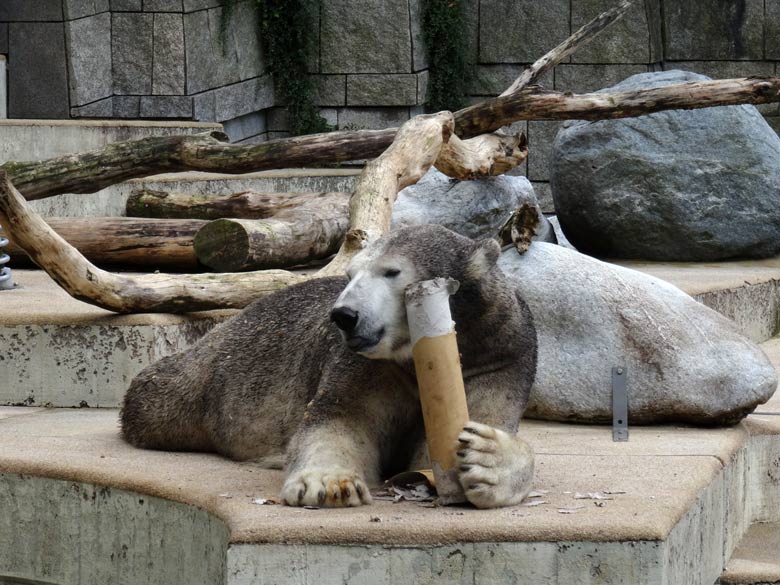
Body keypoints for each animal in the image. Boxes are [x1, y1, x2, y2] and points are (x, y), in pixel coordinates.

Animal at [120, 224, 536, 506]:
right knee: (154, 396)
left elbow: (477, 424)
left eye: (391, 271)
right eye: (351, 275)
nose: (344, 315)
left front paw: (489, 461)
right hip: (211, 371)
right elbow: (339, 420)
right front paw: (327, 485)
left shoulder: (497, 358)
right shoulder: (362, 367)